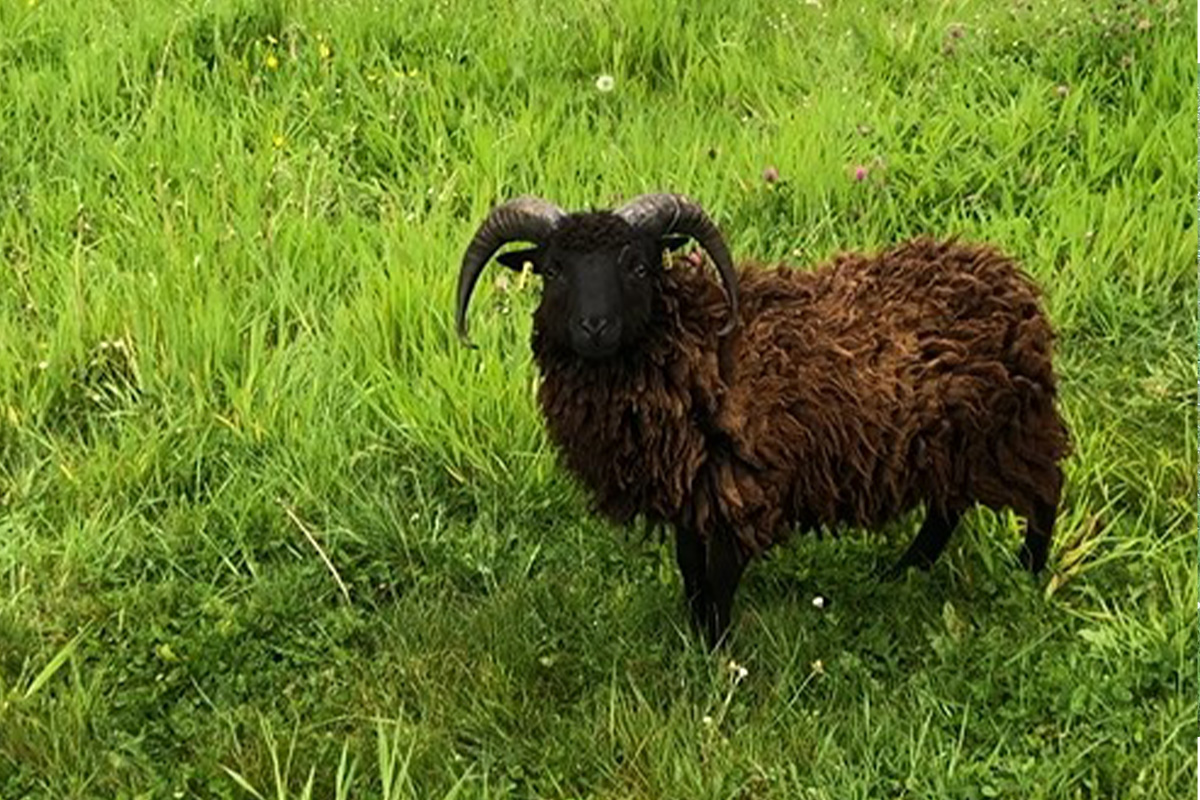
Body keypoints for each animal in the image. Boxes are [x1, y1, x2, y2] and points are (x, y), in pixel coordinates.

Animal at [454, 193, 1070, 647]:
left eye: (637, 265)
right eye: (554, 269)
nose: (595, 327)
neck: (696, 346)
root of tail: (1010, 280)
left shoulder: (744, 486)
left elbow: (721, 575)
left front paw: (718, 652)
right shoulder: (691, 487)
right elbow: (690, 568)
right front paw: (696, 633)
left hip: (1009, 430)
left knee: (1044, 493)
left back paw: (1026, 575)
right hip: (946, 441)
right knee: (946, 511)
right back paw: (901, 574)